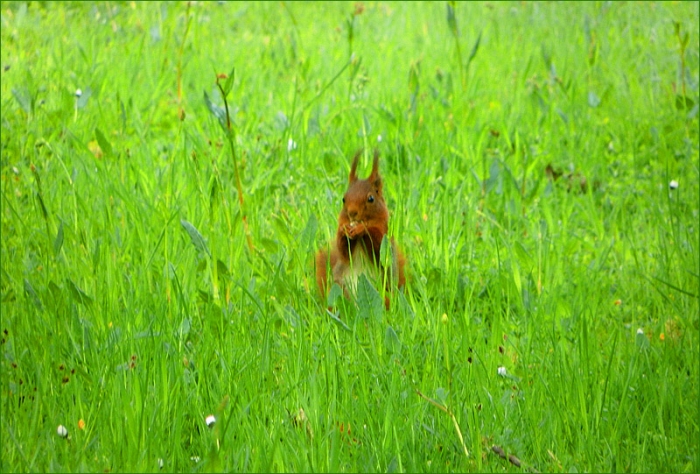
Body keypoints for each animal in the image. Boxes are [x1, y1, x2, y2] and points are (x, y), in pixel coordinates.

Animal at [315, 149, 405, 308]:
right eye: (344, 199)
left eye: (371, 199)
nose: (352, 213)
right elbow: (344, 252)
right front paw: (343, 230)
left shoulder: (384, 235)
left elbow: (377, 248)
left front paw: (362, 229)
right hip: (340, 286)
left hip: (384, 288)